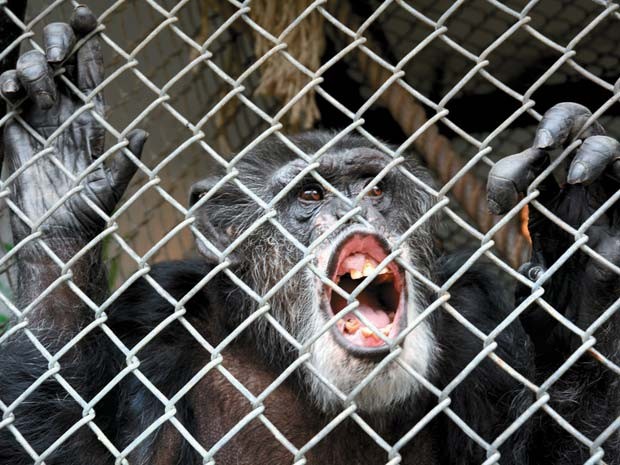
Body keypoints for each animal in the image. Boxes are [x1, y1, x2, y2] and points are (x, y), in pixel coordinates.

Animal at [0, 6, 616, 464]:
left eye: (374, 188)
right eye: (311, 196)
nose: (350, 210)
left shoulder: (480, 313)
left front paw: (584, 246)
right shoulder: (153, 318)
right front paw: (55, 182)